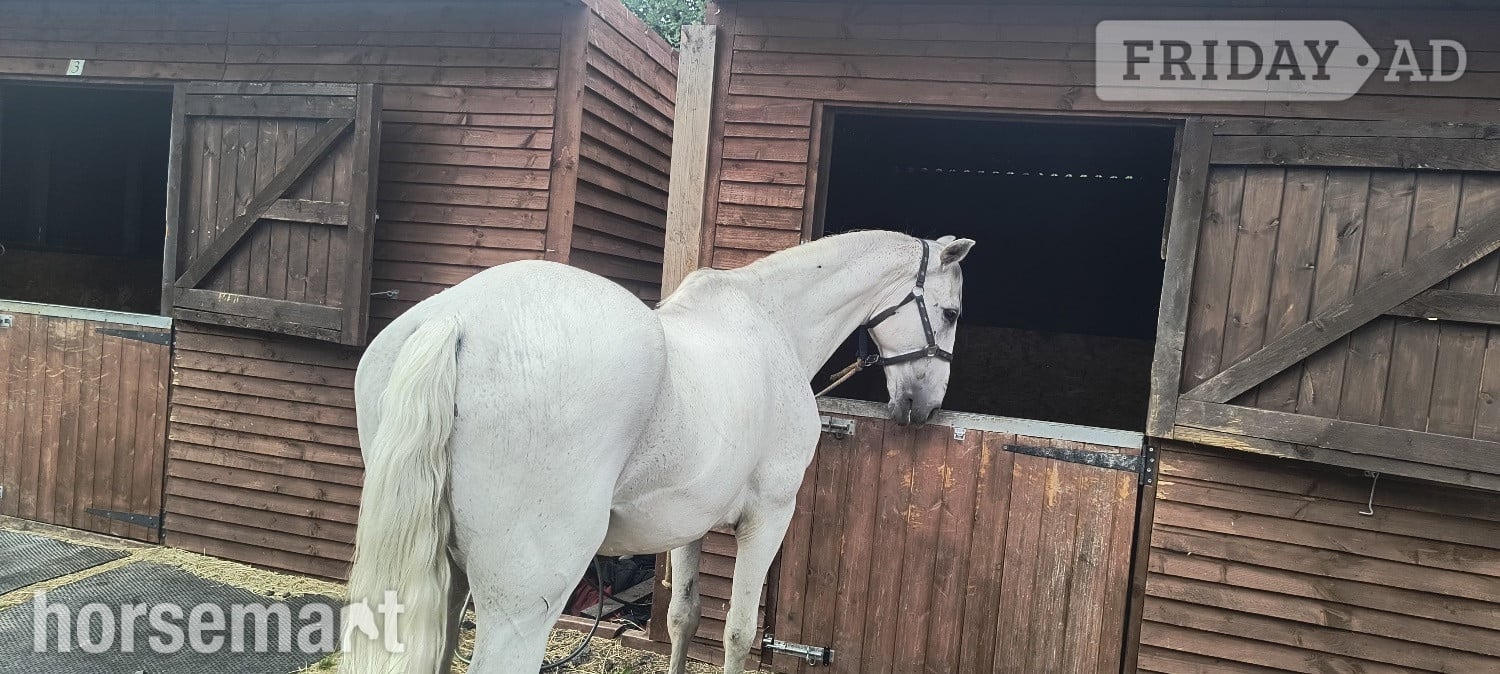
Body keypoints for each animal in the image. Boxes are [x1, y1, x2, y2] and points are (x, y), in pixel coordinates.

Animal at [341, 229, 974, 673]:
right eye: (951, 313)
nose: (922, 405)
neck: (772, 324)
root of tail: (454, 319)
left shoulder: (690, 524)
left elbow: (683, 617)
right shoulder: (769, 517)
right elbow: (738, 632)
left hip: (446, 583)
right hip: (522, 603)